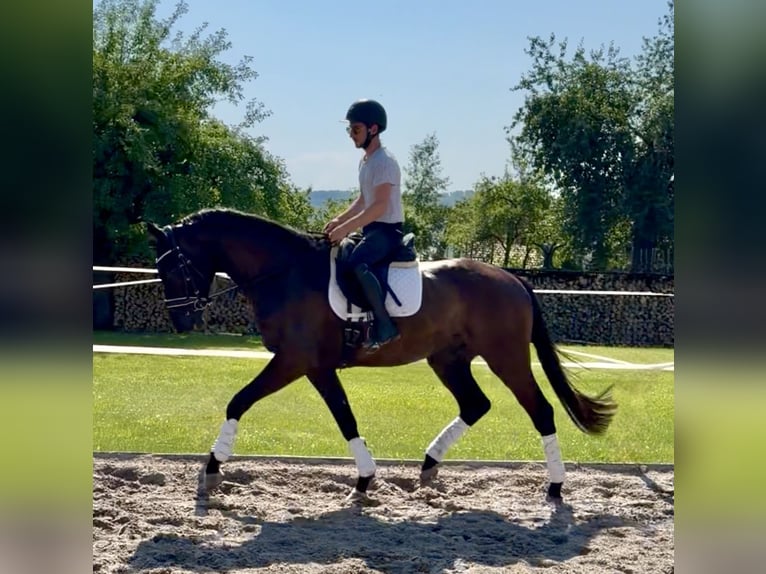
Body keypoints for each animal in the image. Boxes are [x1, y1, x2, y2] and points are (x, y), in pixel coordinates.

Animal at [146, 207, 616, 504]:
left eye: (172, 267)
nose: (183, 321)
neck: (285, 272)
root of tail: (513, 279)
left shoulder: (293, 361)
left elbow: (239, 401)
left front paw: (211, 469)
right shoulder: (316, 367)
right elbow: (345, 418)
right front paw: (364, 479)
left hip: (507, 358)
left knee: (541, 410)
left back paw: (555, 488)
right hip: (448, 359)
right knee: (475, 404)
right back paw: (428, 466)